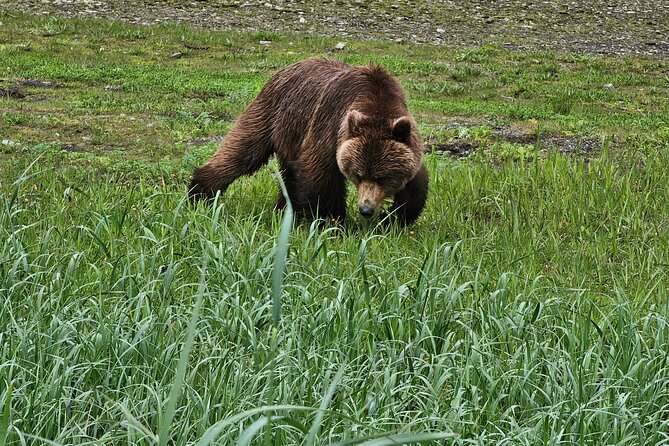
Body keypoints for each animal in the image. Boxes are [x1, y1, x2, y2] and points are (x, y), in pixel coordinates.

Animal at [188, 57, 428, 226]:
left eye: (382, 177)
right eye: (359, 175)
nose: (366, 209)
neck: (376, 100)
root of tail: (287, 68)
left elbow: (415, 186)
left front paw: (395, 218)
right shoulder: (330, 128)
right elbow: (320, 176)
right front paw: (333, 223)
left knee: (288, 174)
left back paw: (284, 209)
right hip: (273, 113)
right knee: (243, 151)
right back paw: (199, 191)